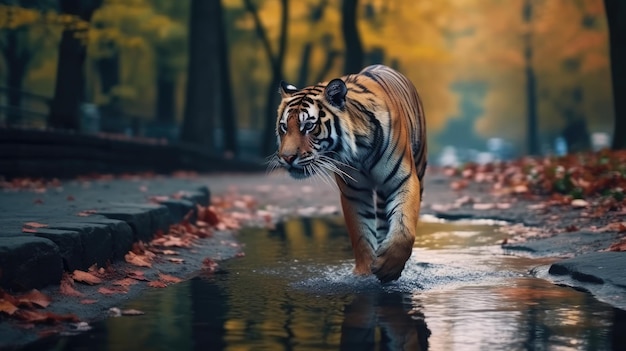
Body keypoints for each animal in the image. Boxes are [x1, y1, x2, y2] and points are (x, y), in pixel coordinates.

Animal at [270, 64, 426, 284]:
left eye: (308, 126)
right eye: (284, 127)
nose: (286, 157)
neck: (360, 148)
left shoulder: (403, 179)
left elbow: (404, 227)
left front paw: (389, 267)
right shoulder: (354, 192)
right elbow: (361, 235)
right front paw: (364, 274)